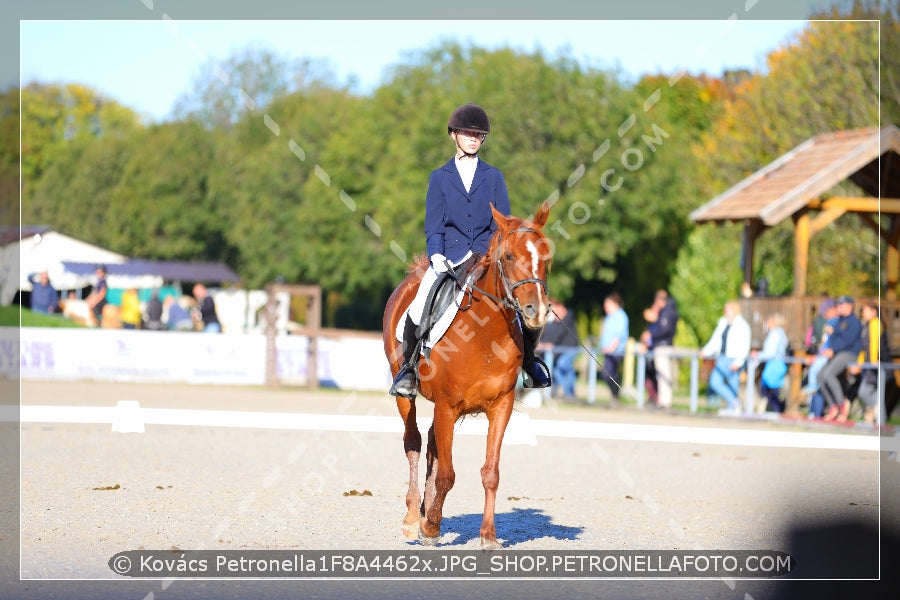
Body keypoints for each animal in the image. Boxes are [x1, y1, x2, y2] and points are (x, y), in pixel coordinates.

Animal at [378, 202, 548, 548]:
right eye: (509, 257)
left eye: (546, 257)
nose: (536, 310)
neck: (486, 334)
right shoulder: (447, 406)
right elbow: (447, 474)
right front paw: (430, 528)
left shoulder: (500, 407)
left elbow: (491, 473)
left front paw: (488, 536)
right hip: (409, 395)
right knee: (414, 441)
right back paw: (413, 517)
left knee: (432, 442)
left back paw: (426, 510)